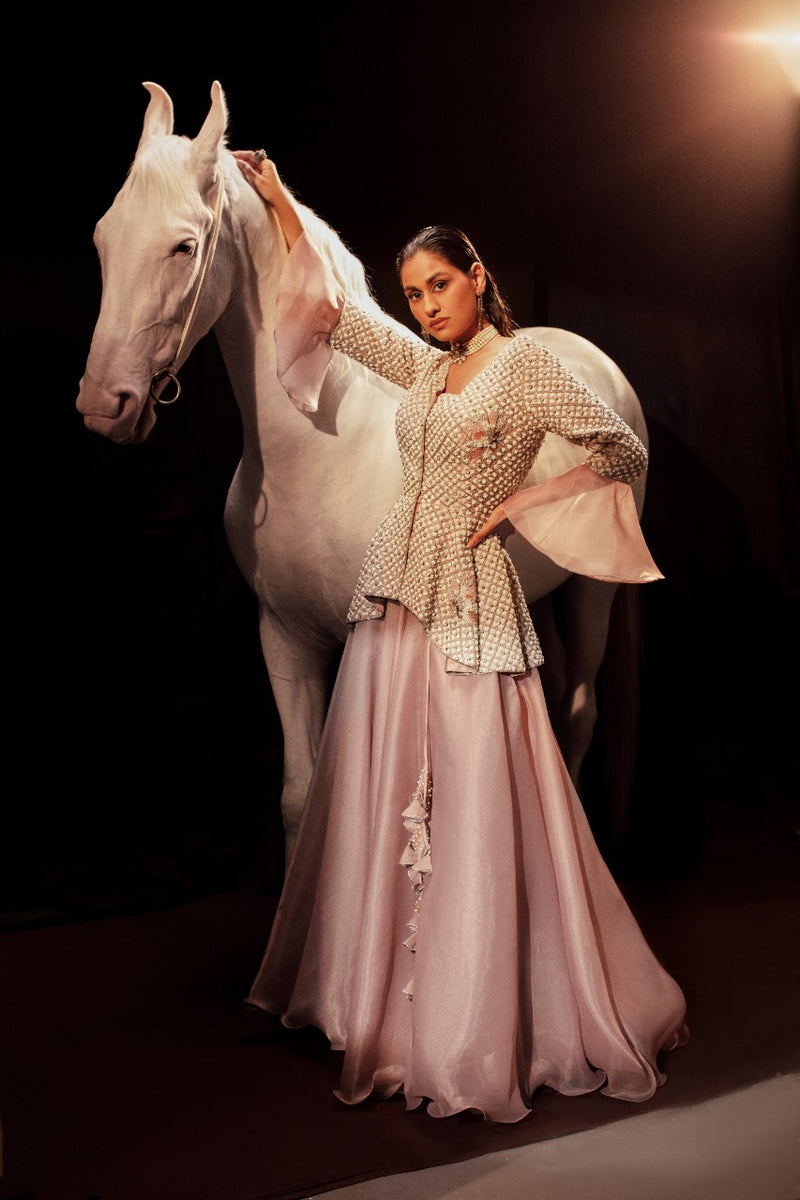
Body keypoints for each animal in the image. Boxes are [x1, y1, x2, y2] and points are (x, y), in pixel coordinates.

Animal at [74, 84, 652, 868]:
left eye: (183, 246)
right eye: (104, 237)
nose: (104, 404)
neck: (317, 450)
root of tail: (596, 363)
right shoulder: (284, 640)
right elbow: (299, 795)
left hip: (594, 592)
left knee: (582, 710)